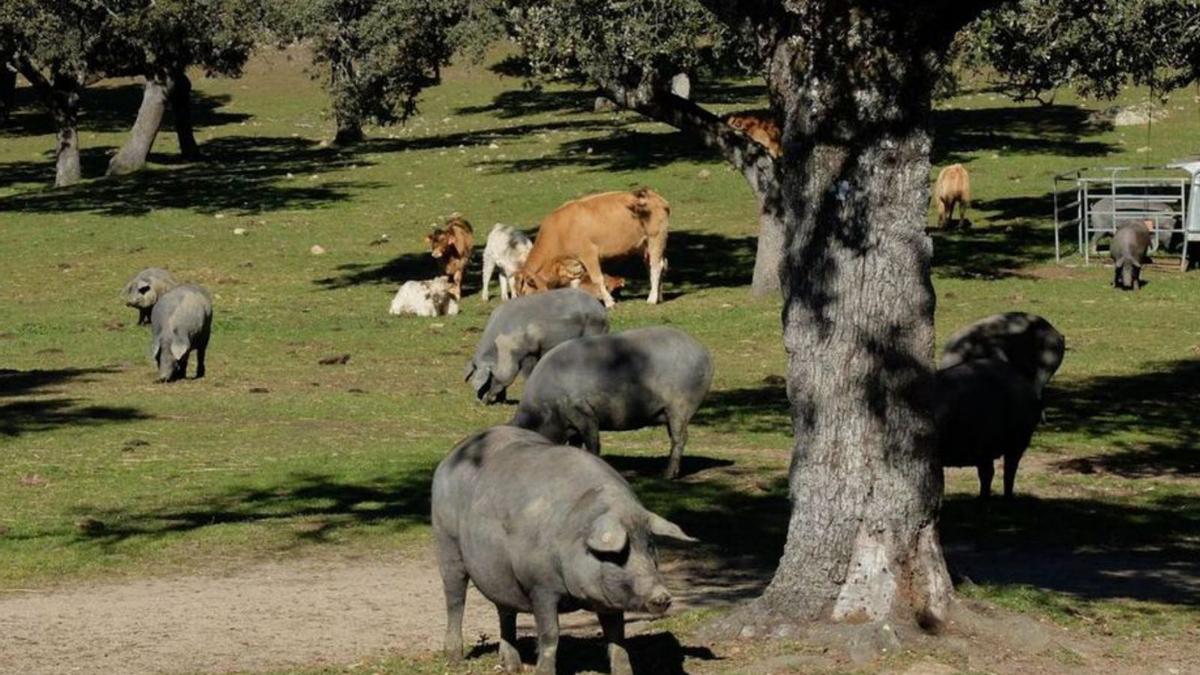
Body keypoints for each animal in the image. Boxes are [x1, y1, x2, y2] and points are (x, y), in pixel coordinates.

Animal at [434, 425, 700, 672]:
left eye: (650, 546)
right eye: (619, 554)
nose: (662, 595)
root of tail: (453, 454)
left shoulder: (609, 598)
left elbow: (617, 638)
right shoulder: (539, 586)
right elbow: (550, 635)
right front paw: (543, 671)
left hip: (500, 574)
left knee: (505, 611)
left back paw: (512, 667)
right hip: (447, 541)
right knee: (455, 598)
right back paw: (454, 659)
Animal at [460, 285, 609, 401]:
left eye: (490, 377)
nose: (482, 400)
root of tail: (601, 310)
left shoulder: (530, 351)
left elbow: (527, 373)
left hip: (593, 330)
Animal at [508, 326, 710, 478]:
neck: (545, 409)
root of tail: (705, 353)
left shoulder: (583, 411)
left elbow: (593, 443)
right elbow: (576, 445)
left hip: (680, 406)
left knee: (680, 438)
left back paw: (666, 475)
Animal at [513, 187, 672, 306]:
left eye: (524, 292)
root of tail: (656, 197)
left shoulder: (588, 254)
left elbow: (597, 278)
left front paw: (609, 302)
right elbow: (575, 283)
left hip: (656, 237)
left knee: (656, 266)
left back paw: (652, 298)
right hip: (643, 245)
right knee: (657, 265)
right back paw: (659, 295)